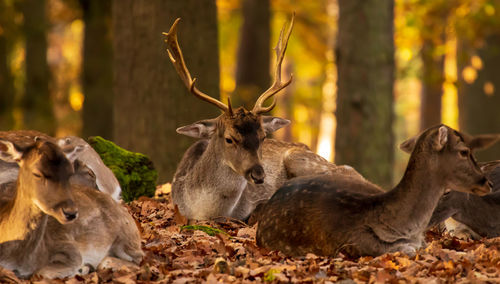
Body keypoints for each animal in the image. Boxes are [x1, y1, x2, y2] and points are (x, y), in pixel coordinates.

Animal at [0, 139, 144, 278]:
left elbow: (41, 273)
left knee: (137, 259)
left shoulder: (67, 246)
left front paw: (80, 269)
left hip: (126, 236)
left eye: (68, 173)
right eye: (37, 173)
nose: (70, 212)